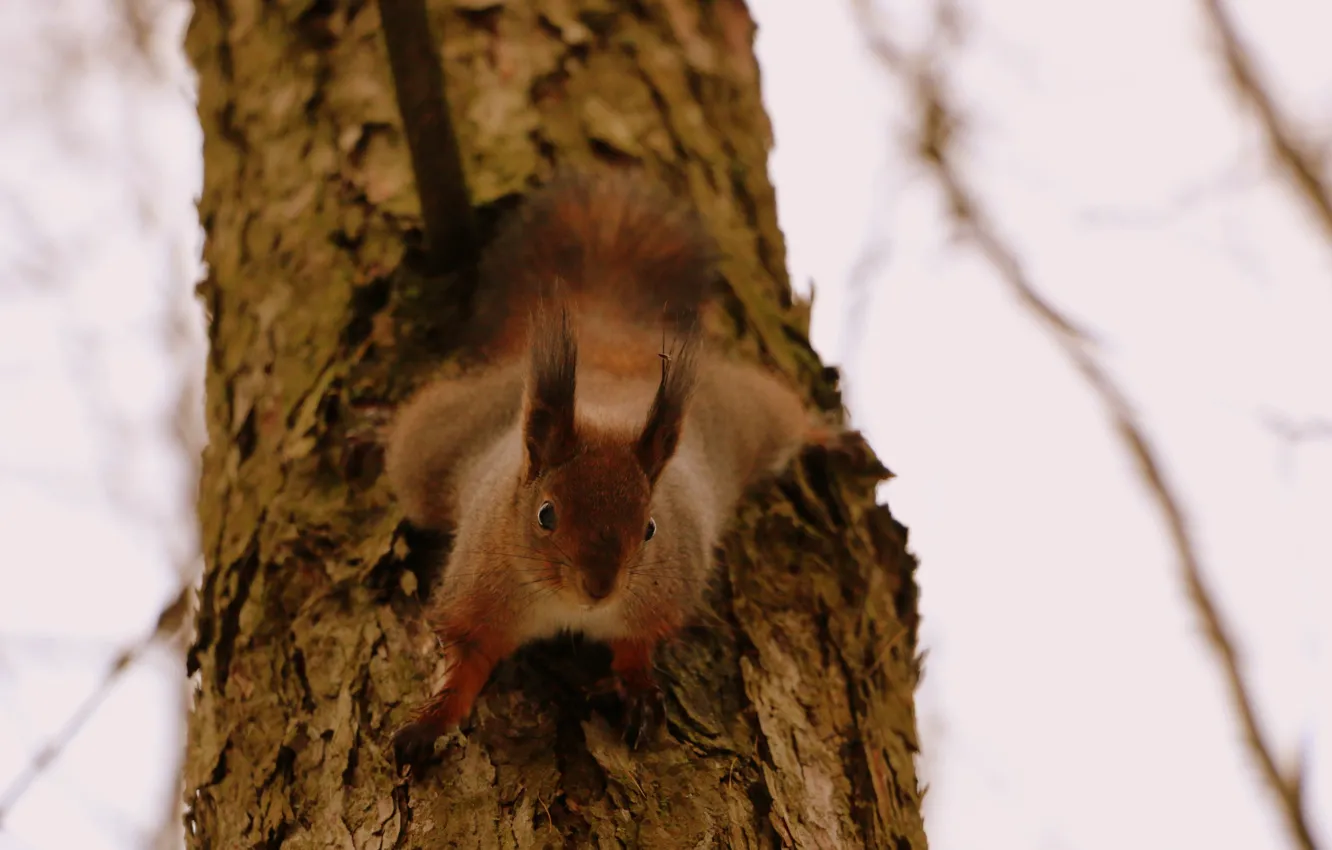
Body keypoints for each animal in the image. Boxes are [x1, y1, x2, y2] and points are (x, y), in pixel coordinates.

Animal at [384, 170, 822, 770]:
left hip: (753, 416)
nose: (599, 587)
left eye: (651, 528)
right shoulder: (479, 593)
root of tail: (610, 342)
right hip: (431, 452)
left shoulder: (662, 592)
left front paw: (636, 688)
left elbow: (639, 643)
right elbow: (465, 659)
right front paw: (431, 721)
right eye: (545, 514)